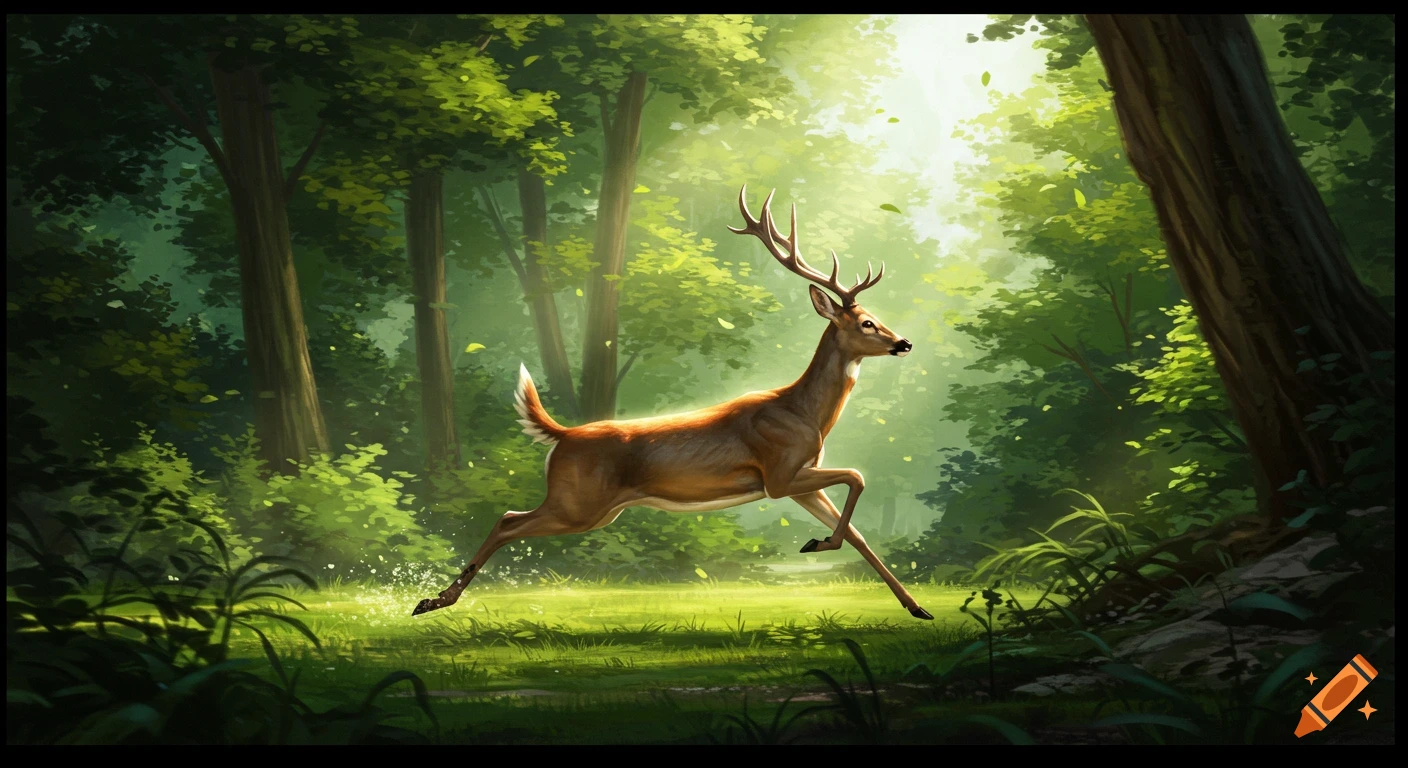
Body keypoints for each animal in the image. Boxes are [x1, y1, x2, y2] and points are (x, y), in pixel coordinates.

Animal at [413, 185, 932, 620]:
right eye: (866, 322)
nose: (904, 342)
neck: (804, 413)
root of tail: (563, 435)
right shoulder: (779, 475)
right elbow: (858, 477)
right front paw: (817, 544)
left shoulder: (800, 481)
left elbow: (860, 533)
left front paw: (915, 606)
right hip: (577, 503)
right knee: (507, 520)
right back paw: (432, 601)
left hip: (594, 508)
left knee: (508, 518)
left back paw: (435, 600)